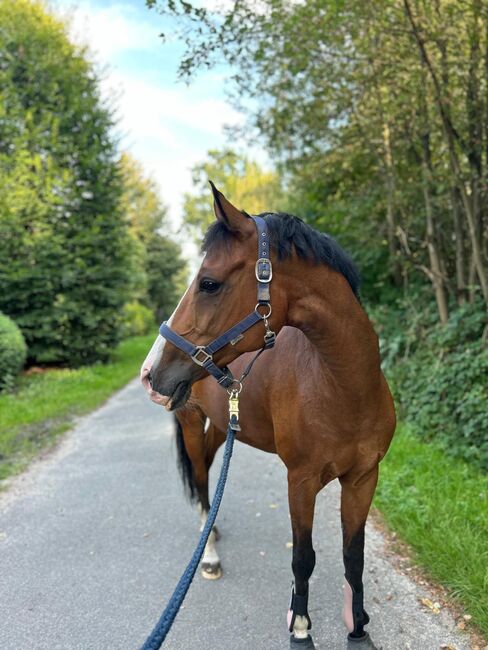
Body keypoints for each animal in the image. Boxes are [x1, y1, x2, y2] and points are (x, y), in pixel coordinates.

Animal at [142, 184, 396, 648]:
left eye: (208, 283)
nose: (150, 374)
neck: (341, 388)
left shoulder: (363, 478)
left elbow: (354, 555)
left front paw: (358, 627)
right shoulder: (301, 481)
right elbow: (303, 558)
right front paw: (300, 628)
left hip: (221, 427)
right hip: (191, 424)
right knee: (201, 483)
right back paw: (209, 555)